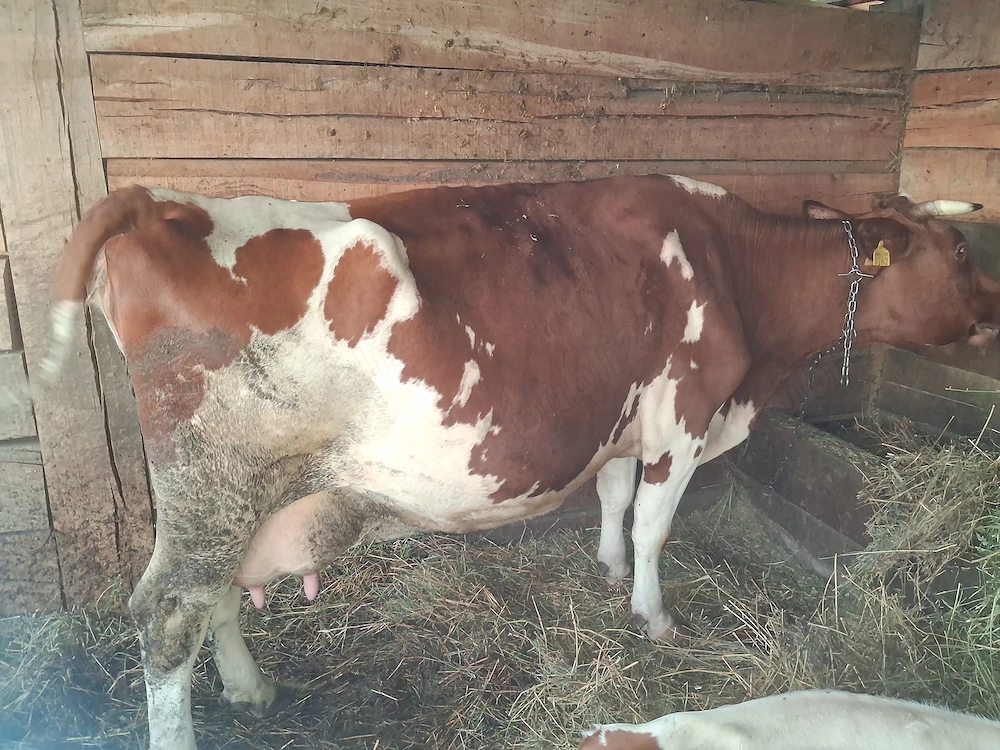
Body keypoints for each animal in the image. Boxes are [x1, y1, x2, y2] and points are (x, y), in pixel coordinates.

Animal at [41, 175, 999, 750]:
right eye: (961, 253)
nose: (993, 307)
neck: (734, 271)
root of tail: (161, 202)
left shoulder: (621, 416)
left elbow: (613, 496)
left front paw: (606, 571)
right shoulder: (684, 415)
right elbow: (654, 525)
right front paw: (653, 617)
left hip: (234, 489)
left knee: (212, 596)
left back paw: (249, 689)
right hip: (216, 473)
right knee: (170, 613)